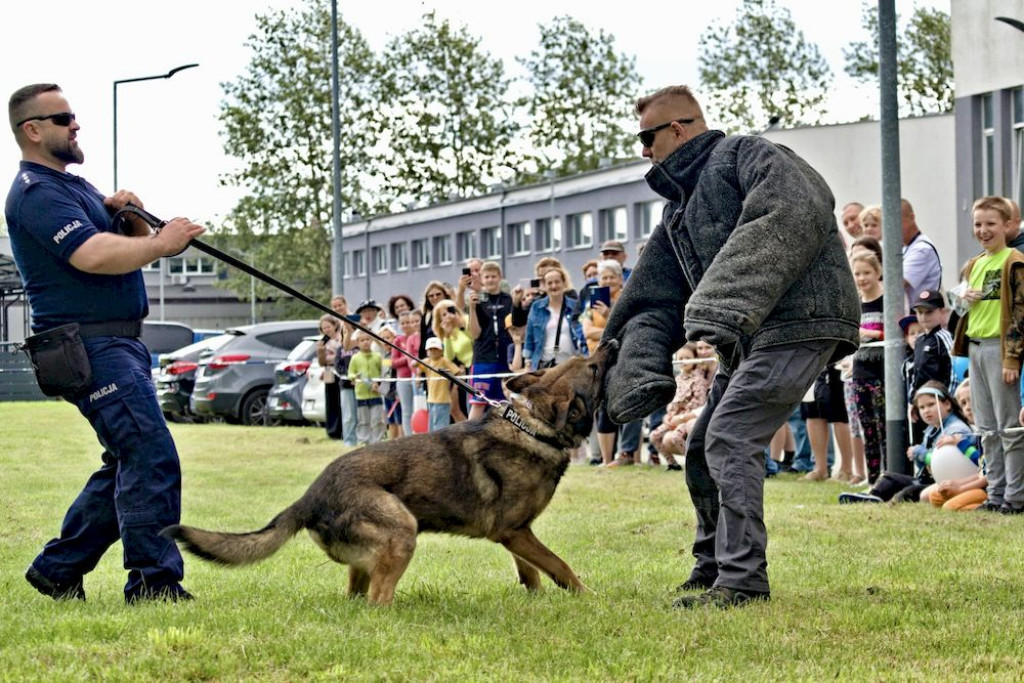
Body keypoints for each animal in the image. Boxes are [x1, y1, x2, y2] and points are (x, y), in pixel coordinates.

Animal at [160, 339, 614, 602]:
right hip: (401, 530)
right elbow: (558, 565)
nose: (608, 341)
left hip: (368, 557)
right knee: (377, 602)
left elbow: (531, 571)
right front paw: (586, 596)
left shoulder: (517, 534)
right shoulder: (514, 531)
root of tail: (309, 497)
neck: (533, 426)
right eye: (592, 368)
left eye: (583, 359)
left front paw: (535, 601)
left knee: (357, 598)